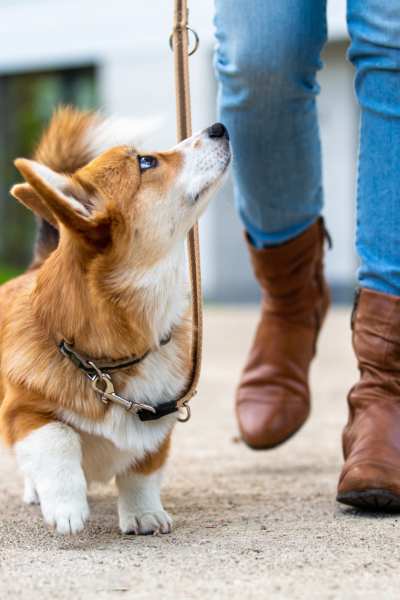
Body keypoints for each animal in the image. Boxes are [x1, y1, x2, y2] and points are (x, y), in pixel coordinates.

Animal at [0, 108, 231, 536]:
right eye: (146, 162)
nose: (219, 128)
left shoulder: (159, 420)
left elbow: (141, 471)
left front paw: (144, 515)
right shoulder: (23, 413)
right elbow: (59, 439)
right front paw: (67, 507)